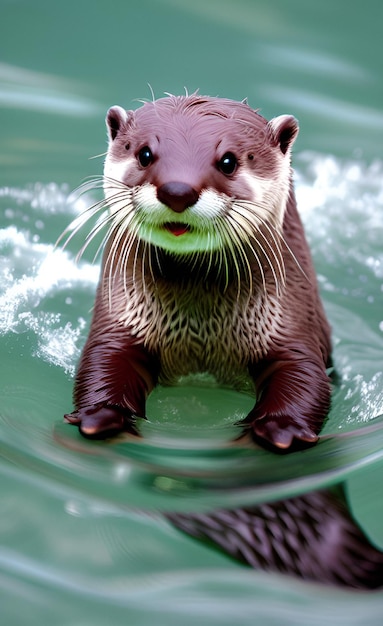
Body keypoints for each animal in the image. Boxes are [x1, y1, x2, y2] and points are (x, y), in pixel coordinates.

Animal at [63, 94, 332, 448]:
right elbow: (104, 359)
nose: (177, 190)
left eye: (229, 161)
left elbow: (304, 373)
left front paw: (282, 427)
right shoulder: (121, 319)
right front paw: (101, 415)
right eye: (144, 154)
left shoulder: (293, 322)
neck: (203, 328)